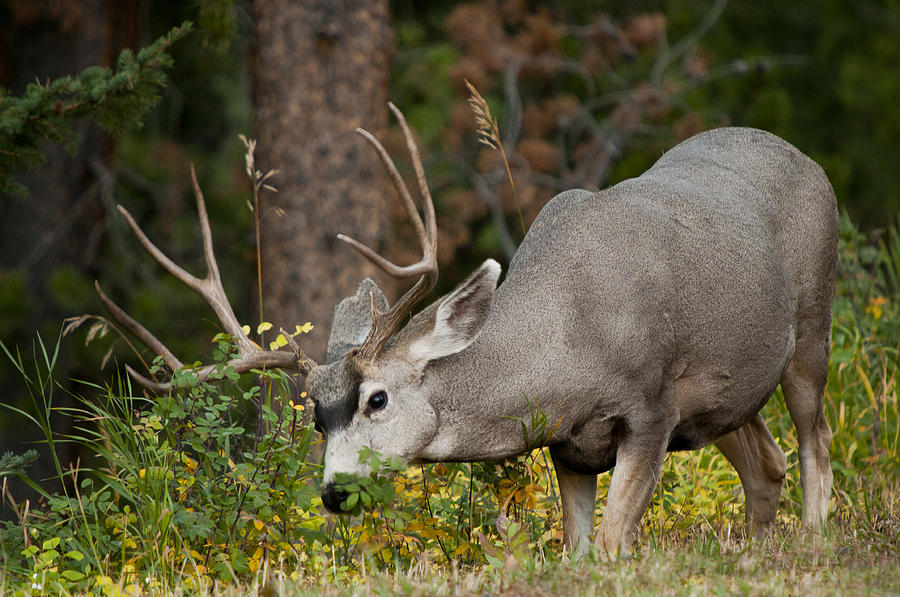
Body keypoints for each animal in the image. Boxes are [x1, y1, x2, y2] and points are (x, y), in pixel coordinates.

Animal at [102, 103, 840, 560]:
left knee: (814, 438)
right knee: (766, 462)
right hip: (725, 396)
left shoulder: (651, 406)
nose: (335, 491)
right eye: (315, 414)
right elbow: (578, 550)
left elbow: (611, 545)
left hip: (811, 325)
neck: (569, 343)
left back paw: (813, 534)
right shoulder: (570, 445)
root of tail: (804, 156)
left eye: (377, 398)